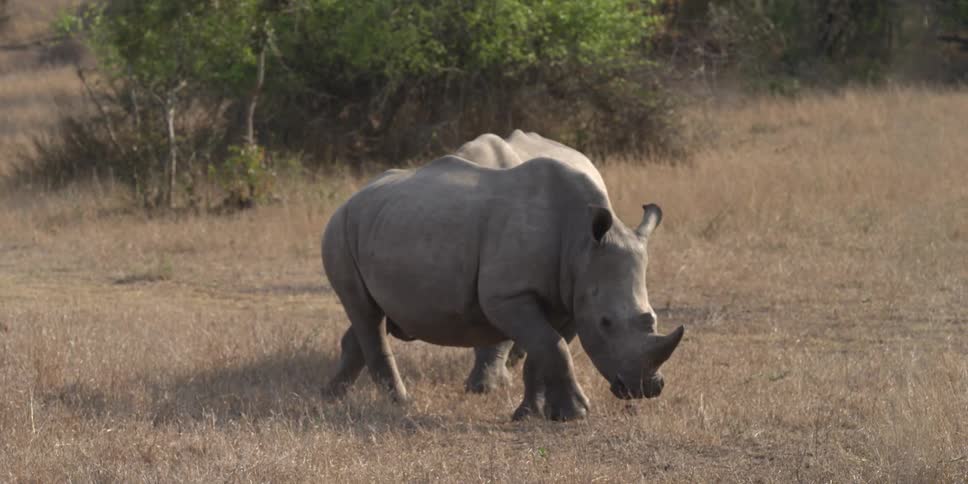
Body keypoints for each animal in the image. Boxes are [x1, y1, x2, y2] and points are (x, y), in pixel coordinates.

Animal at [322, 137, 684, 421]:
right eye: (606, 323)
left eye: (652, 318)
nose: (648, 387)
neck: (580, 245)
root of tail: (352, 197)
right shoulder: (508, 296)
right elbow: (551, 346)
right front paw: (577, 414)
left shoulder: (569, 299)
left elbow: (545, 350)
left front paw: (532, 416)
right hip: (340, 230)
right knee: (365, 312)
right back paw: (399, 404)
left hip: (384, 224)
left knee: (373, 315)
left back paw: (330, 397)